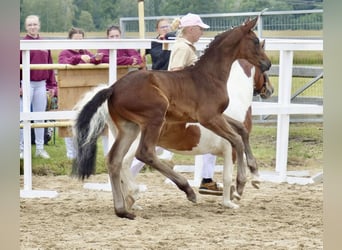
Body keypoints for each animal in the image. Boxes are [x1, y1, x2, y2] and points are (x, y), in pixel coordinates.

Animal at [72, 17, 270, 219]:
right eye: (255, 41)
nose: (268, 63)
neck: (210, 76)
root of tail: (113, 88)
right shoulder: (209, 118)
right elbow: (236, 140)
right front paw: (240, 185)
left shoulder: (217, 116)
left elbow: (242, 130)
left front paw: (256, 175)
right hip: (155, 117)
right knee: (144, 153)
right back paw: (186, 189)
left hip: (129, 128)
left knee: (115, 159)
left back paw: (122, 210)